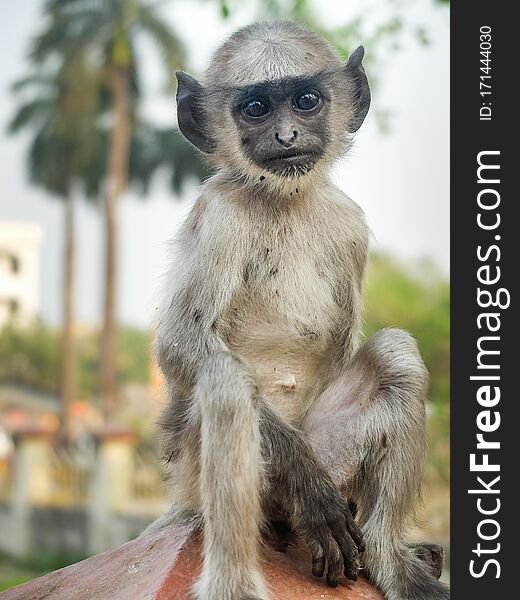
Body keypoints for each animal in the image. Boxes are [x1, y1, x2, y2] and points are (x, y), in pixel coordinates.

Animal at [143, 21, 450, 600]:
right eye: (256, 109)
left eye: (306, 102)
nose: (286, 137)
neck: (284, 199)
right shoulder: (219, 211)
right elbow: (181, 343)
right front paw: (309, 486)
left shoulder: (350, 225)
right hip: (210, 478)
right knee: (224, 379)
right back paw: (237, 581)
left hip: (330, 448)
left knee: (395, 352)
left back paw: (389, 558)